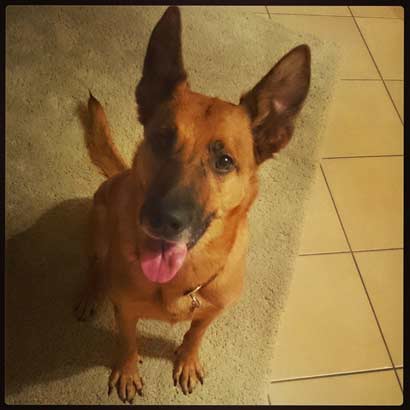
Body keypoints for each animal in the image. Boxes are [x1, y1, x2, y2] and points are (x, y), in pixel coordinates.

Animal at [74, 6, 310, 403]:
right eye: (161, 139)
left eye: (224, 161)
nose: (161, 220)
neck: (182, 278)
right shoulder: (125, 311)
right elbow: (127, 341)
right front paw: (128, 369)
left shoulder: (212, 311)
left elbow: (195, 332)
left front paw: (186, 359)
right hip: (99, 225)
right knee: (94, 264)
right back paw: (91, 290)